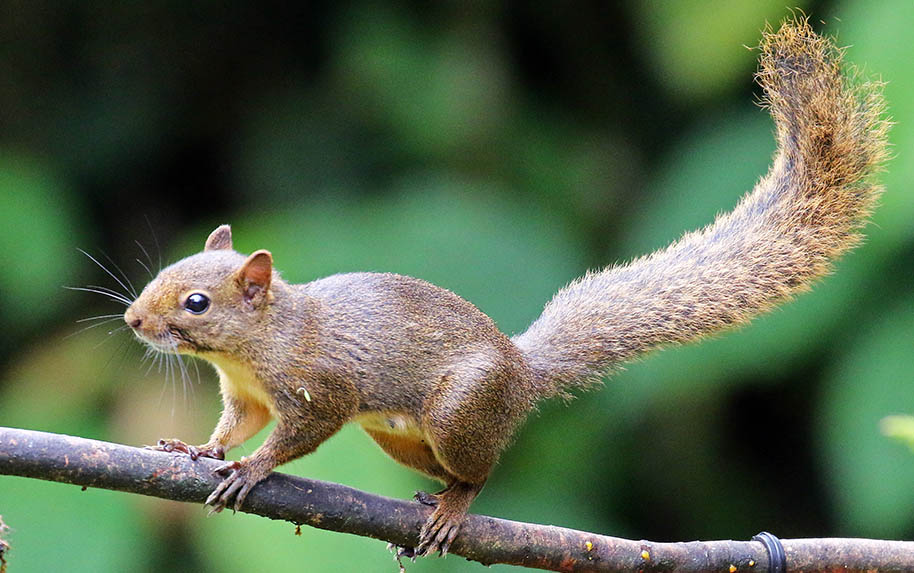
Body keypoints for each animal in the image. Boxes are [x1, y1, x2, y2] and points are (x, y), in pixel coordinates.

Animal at [121, 20, 884, 556]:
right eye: (164, 275)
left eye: (196, 303)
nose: (132, 320)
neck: (252, 348)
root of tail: (521, 370)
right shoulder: (246, 395)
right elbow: (236, 424)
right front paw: (201, 450)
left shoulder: (319, 383)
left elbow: (297, 436)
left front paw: (253, 467)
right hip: (405, 438)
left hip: (459, 412)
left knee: (480, 471)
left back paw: (455, 508)